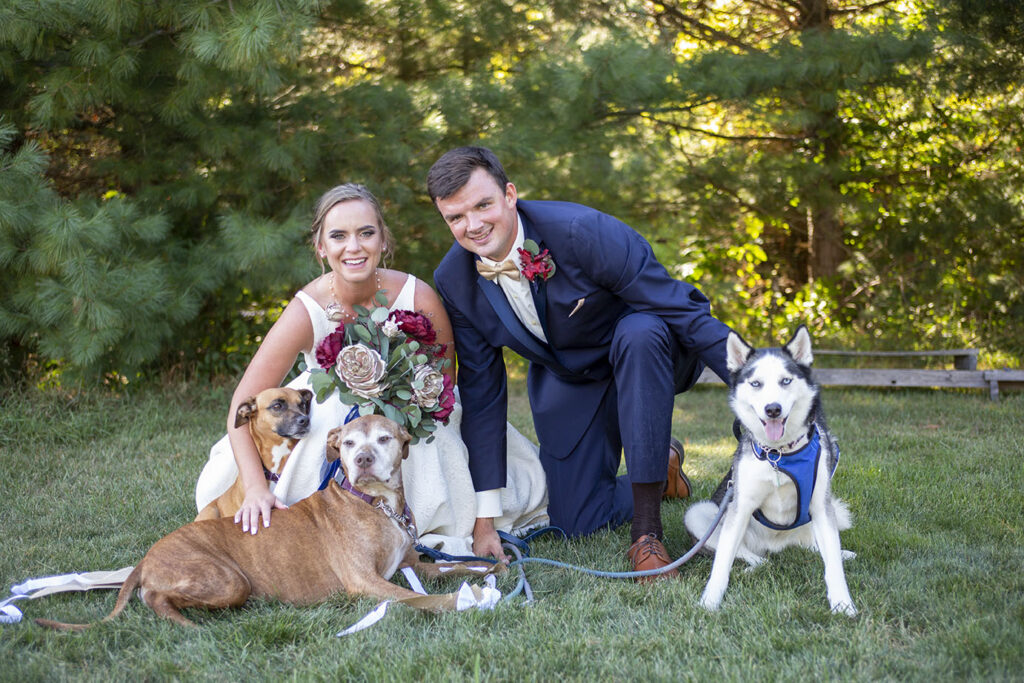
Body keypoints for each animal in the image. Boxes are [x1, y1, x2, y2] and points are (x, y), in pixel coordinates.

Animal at [38, 413, 487, 626]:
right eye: (348, 443)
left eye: (384, 439)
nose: (362, 459)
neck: (378, 503)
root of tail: (148, 556)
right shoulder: (366, 581)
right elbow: (421, 598)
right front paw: (465, 601)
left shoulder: (412, 564)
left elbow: (454, 567)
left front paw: (490, 567)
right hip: (225, 579)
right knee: (155, 598)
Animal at [688, 325, 856, 618]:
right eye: (756, 384)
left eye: (785, 381)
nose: (773, 409)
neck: (779, 455)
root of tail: (776, 546)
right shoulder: (739, 507)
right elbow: (722, 563)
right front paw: (709, 601)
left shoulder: (821, 505)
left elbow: (832, 563)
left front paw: (842, 603)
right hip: (700, 515)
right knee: (748, 555)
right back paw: (757, 565)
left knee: (817, 546)